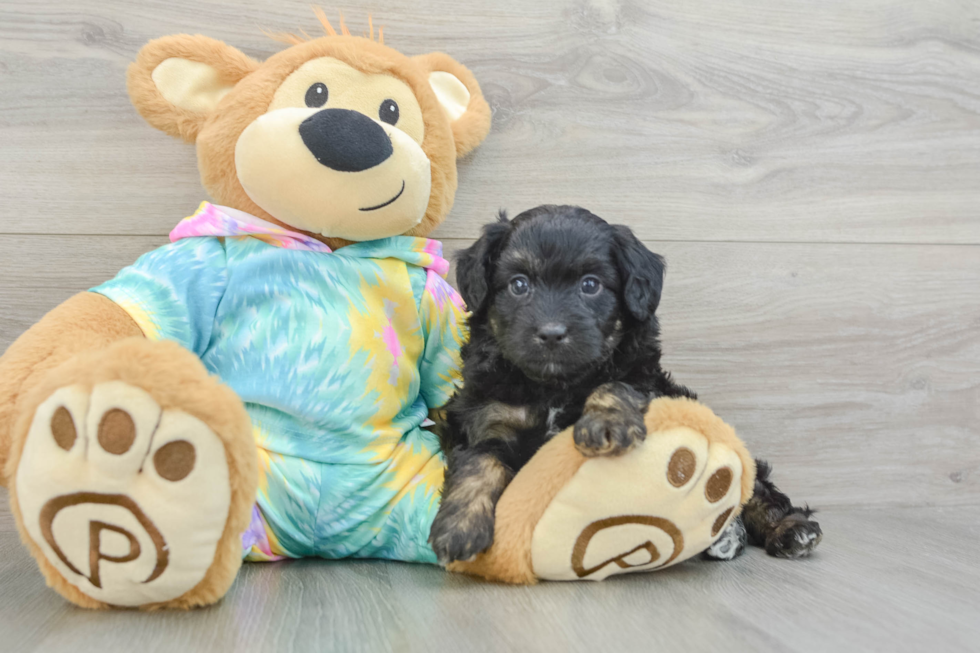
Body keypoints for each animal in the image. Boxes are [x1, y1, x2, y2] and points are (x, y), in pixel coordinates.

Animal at [428, 205, 820, 564]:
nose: (552, 333)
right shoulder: (485, 416)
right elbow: (479, 461)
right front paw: (459, 527)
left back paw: (790, 530)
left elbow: (617, 385)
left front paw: (604, 424)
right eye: (518, 284)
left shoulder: (645, 380)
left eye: (590, 284)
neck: (555, 386)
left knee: (755, 488)